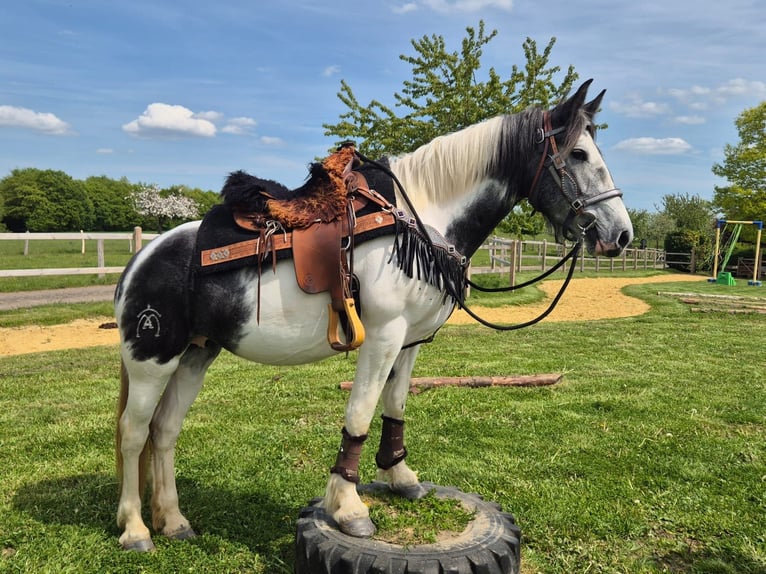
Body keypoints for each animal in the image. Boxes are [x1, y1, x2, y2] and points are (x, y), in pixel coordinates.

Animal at [114, 80, 633, 551]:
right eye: (579, 154)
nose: (621, 234)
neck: (419, 221)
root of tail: (140, 260)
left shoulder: (409, 341)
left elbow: (395, 405)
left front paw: (400, 475)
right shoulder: (383, 335)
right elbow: (360, 412)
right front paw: (348, 508)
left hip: (195, 356)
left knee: (164, 431)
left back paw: (174, 522)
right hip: (151, 359)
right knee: (134, 434)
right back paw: (136, 530)